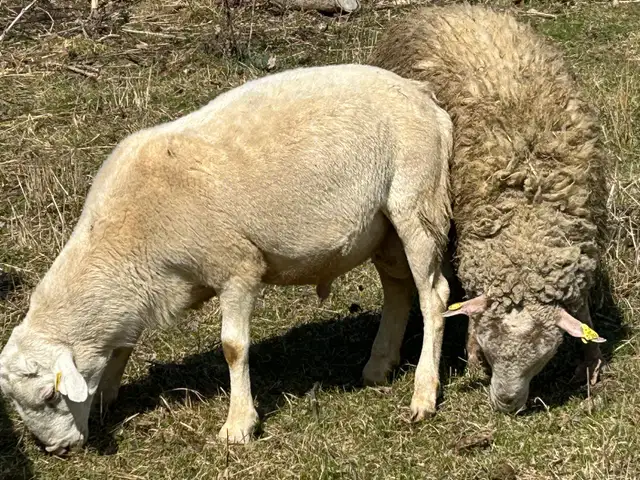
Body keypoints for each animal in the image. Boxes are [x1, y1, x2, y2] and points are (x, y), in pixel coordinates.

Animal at [0, 63, 454, 453]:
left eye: (49, 394)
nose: (57, 450)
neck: (128, 242)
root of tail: (424, 97)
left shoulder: (237, 266)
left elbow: (233, 347)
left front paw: (239, 424)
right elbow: (121, 346)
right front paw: (106, 396)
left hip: (417, 203)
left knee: (434, 296)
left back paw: (423, 394)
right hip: (382, 227)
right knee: (398, 289)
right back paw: (379, 366)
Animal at [367, 4, 610, 413]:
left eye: (542, 357)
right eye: (490, 348)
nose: (506, 403)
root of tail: (444, 9)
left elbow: (581, 309)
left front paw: (590, 364)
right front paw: (472, 358)